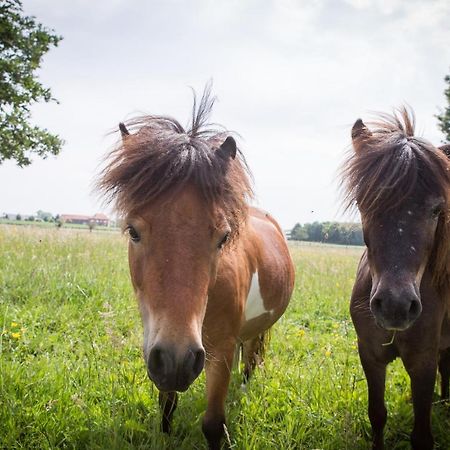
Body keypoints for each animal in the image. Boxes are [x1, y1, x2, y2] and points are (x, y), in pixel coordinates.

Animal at [97, 89, 296, 450]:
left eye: (224, 237)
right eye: (133, 231)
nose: (178, 360)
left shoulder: (218, 350)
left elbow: (214, 424)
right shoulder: (157, 345)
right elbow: (166, 403)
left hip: (255, 332)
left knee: (250, 362)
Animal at [342, 107, 450, 448]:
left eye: (436, 210)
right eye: (364, 203)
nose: (395, 306)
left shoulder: (422, 361)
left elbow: (422, 436)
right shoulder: (370, 355)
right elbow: (377, 415)